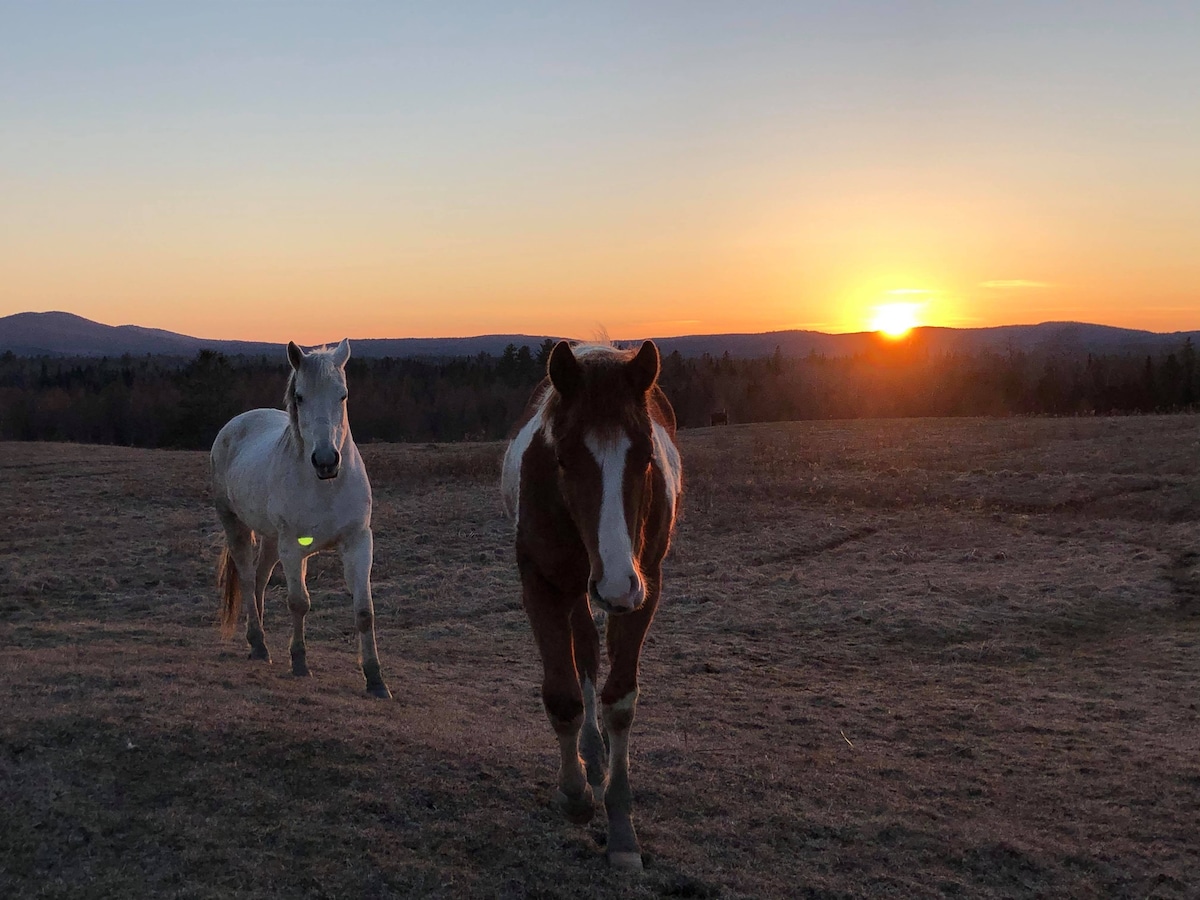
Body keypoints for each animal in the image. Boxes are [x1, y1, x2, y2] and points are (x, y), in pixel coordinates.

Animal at [210, 340, 388, 700]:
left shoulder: (358, 542)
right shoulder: (293, 547)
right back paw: (259, 643)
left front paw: (375, 679)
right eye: (300, 397)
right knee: (247, 579)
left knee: (260, 579)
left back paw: (257, 641)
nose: (326, 461)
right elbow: (298, 603)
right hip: (236, 525)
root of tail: (236, 424)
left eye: (343, 395)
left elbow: (364, 612)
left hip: (269, 538)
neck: (326, 487)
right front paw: (300, 662)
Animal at [499, 340, 686, 873]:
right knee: (581, 648)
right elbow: (563, 696)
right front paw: (575, 794)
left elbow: (619, 701)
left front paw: (622, 831)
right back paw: (588, 758)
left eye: (645, 455)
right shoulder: (540, 584)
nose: (617, 583)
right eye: (563, 457)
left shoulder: (646, 586)